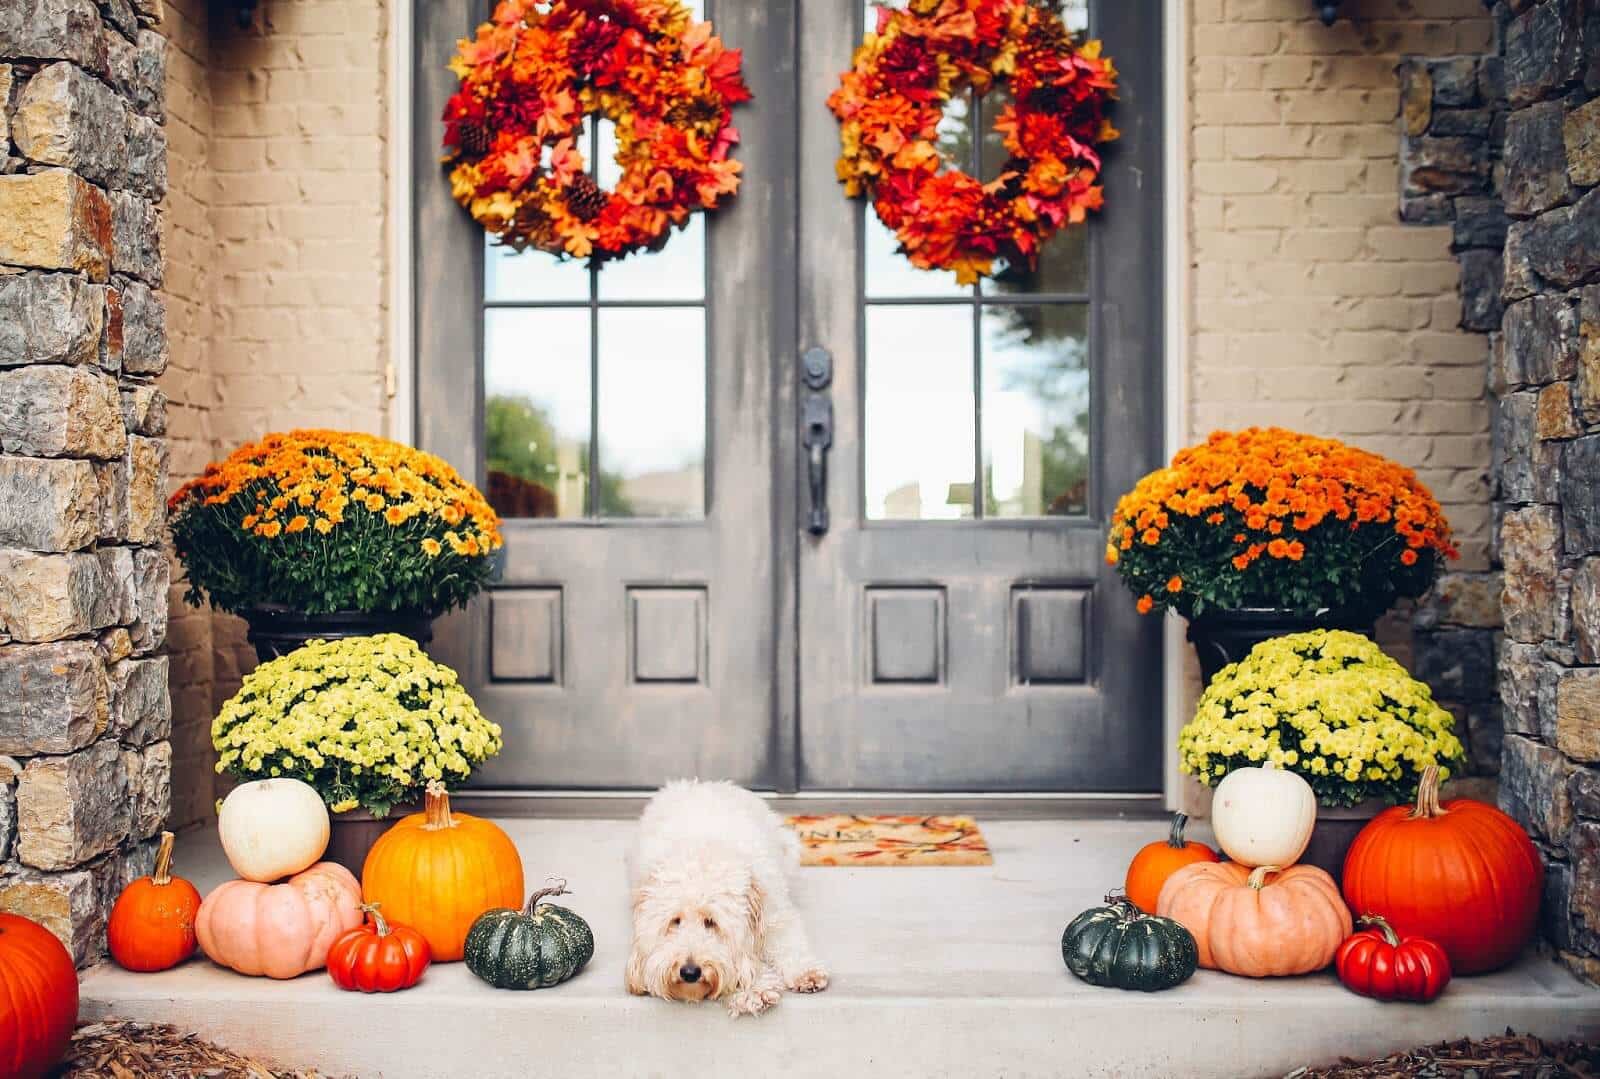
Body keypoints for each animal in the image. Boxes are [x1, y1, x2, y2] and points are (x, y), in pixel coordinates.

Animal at [624, 778, 832, 1011]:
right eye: (675, 921)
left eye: (711, 922)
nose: (689, 972)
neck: (702, 849)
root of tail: (700, 783)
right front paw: (753, 989)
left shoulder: (775, 912)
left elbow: (787, 943)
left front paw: (804, 973)